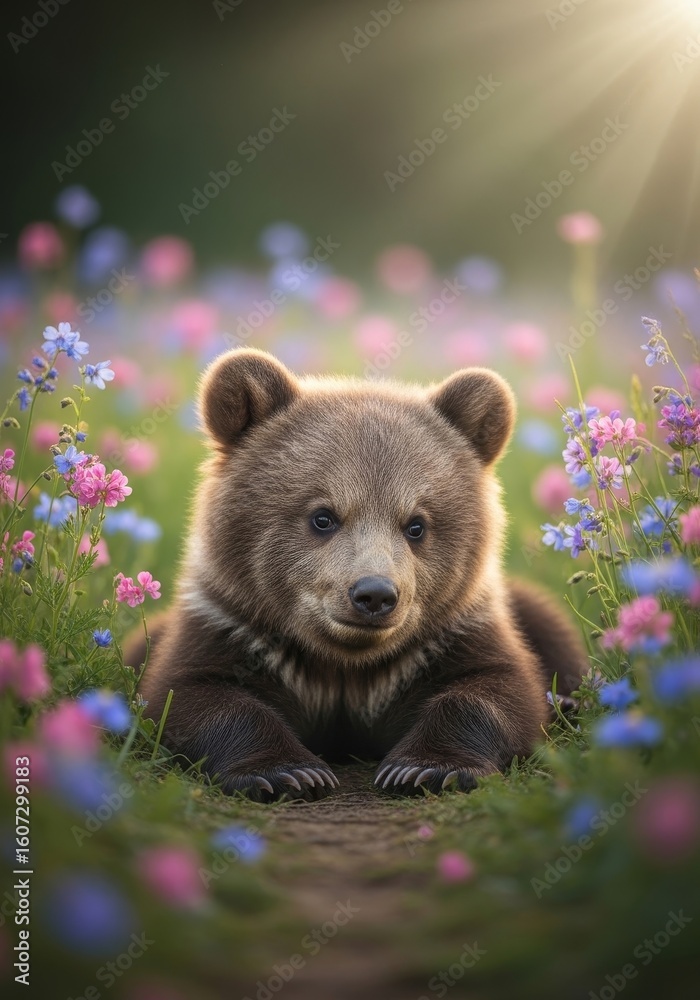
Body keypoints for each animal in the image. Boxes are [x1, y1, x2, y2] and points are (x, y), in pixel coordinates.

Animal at [138, 348, 588, 800]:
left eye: (416, 524)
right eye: (323, 516)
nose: (375, 594)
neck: (346, 667)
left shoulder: (452, 636)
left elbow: (495, 689)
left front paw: (424, 768)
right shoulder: (231, 627)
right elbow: (195, 695)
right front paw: (287, 772)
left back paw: (569, 703)